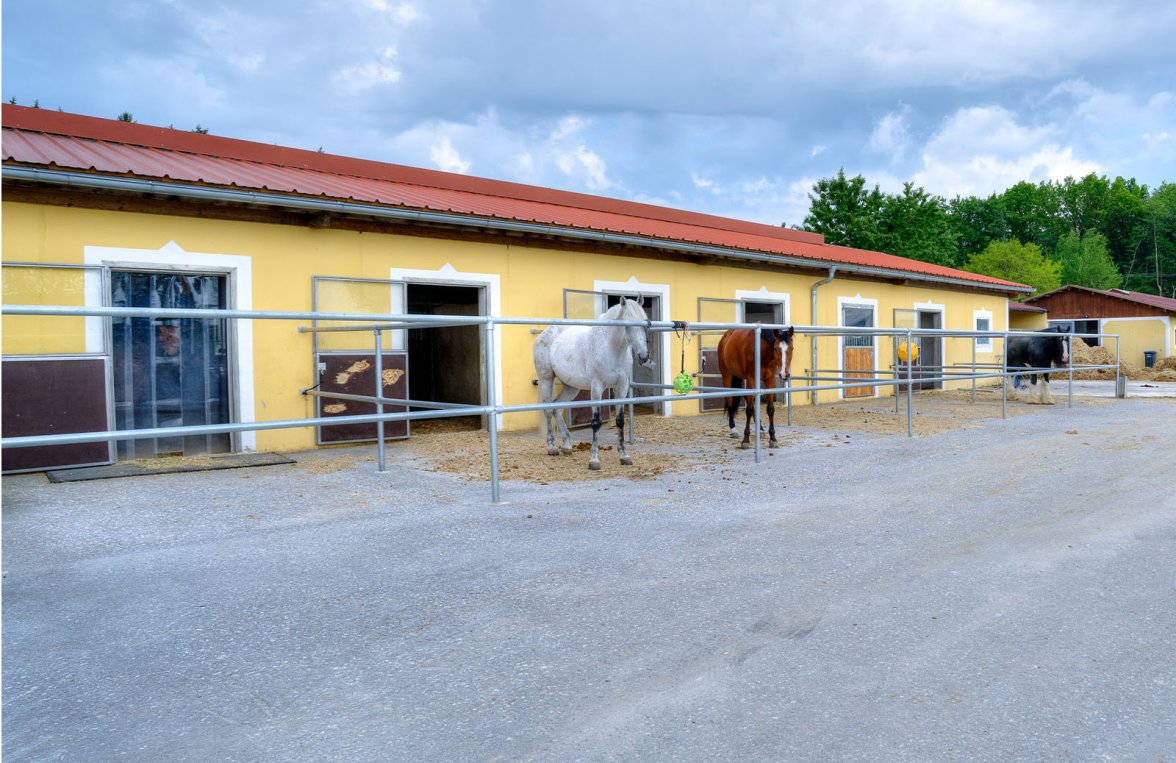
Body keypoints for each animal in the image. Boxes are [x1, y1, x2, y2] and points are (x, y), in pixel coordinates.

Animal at [533, 297, 653, 470]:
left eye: (645, 322)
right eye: (628, 324)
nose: (643, 356)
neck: (611, 349)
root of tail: (544, 333)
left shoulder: (621, 388)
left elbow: (620, 421)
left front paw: (624, 456)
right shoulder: (597, 388)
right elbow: (596, 422)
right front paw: (594, 460)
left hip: (572, 387)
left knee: (557, 407)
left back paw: (567, 445)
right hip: (546, 380)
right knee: (549, 410)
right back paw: (552, 447)